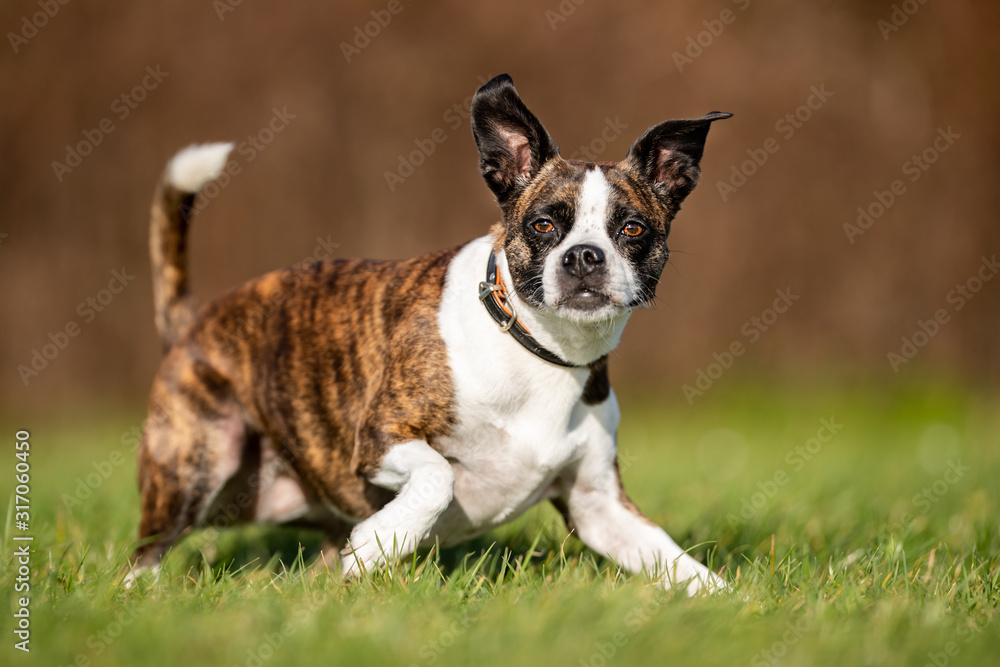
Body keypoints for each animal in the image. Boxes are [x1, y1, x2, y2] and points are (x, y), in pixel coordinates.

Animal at [131, 74, 728, 596]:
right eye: (542, 224)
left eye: (632, 229)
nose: (584, 255)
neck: (538, 349)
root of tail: (190, 325)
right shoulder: (381, 437)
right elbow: (438, 477)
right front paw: (382, 540)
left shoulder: (597, 506)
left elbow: (676, 562)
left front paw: (731, 603)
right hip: (198, 465)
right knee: (147, 551)